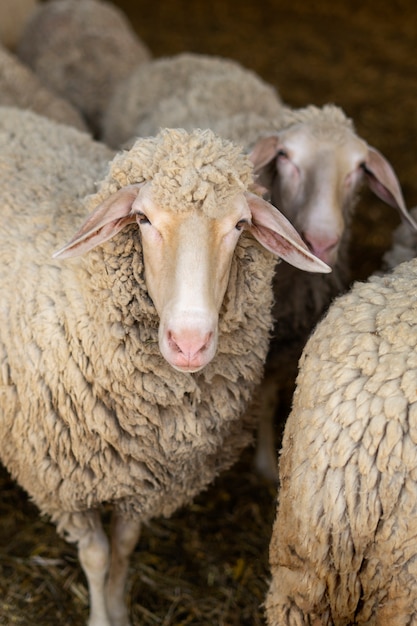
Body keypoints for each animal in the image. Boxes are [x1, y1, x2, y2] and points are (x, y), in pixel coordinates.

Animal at [0, 107, 328, 624]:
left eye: (240, 225)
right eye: (143, 218)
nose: (189, 342)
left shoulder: (147, 484)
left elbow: (124, 547)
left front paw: (119, 608)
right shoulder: (61, 483)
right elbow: (96, 555)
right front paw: (101, 617)